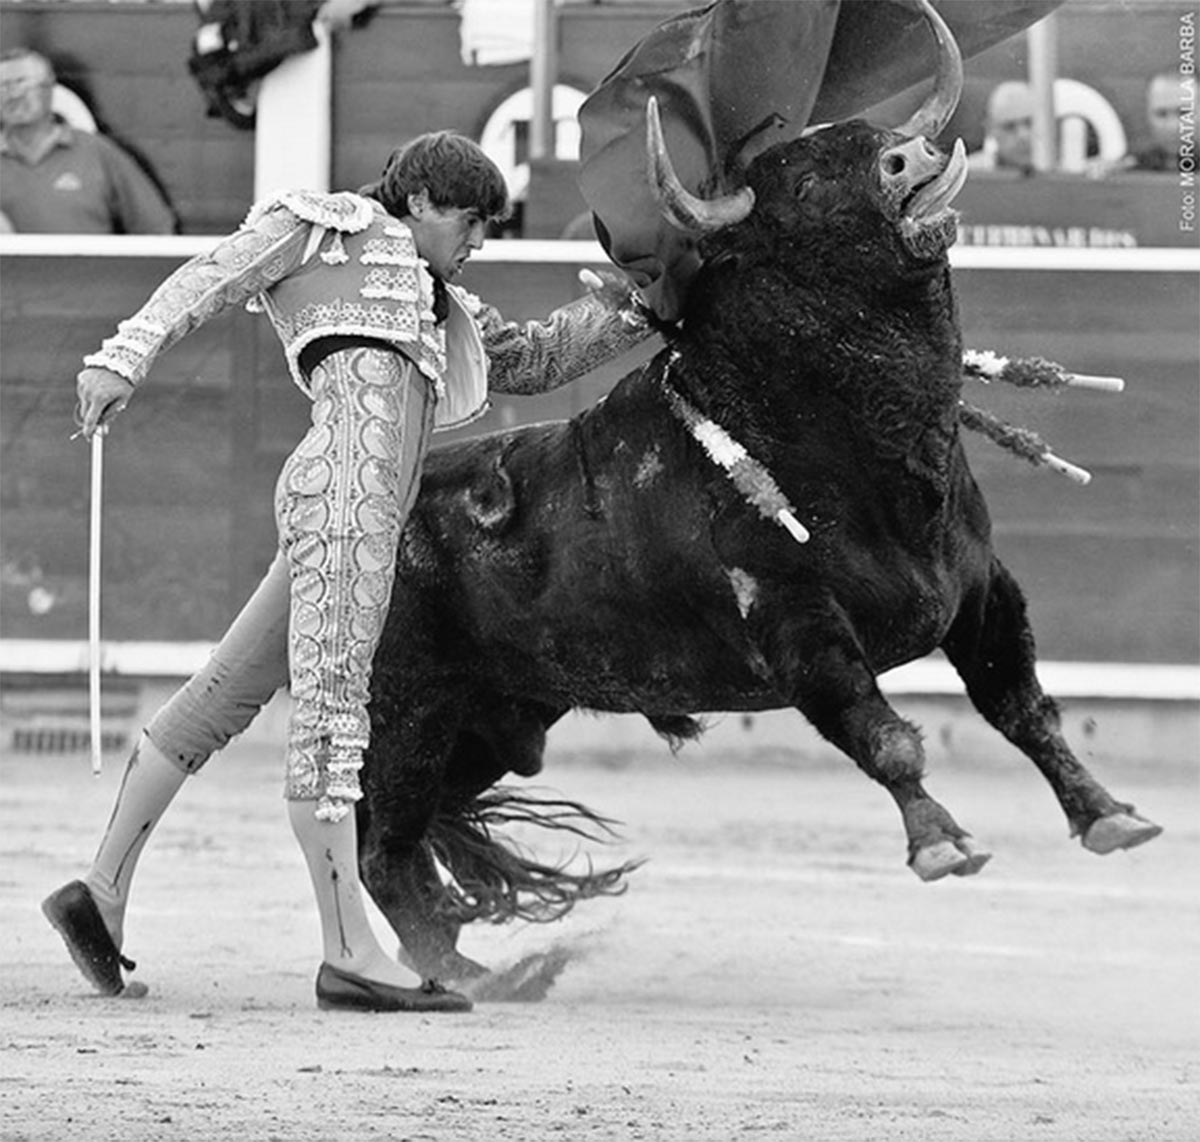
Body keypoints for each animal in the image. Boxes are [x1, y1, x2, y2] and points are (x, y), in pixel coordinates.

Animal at [350, 0, 1156, 988]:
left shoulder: (980, 593)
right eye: (802, 190)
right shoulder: (796, 626)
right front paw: (942, 844)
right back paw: (461, 976)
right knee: (384, 846)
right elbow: (885, 734)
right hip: (407, 713)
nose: (910, 159)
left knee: (405, 838)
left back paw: (463, 966)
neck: (863, 446)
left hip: (488, 724)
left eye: (872, 140)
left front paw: (1110, 815)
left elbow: (1025, 708)